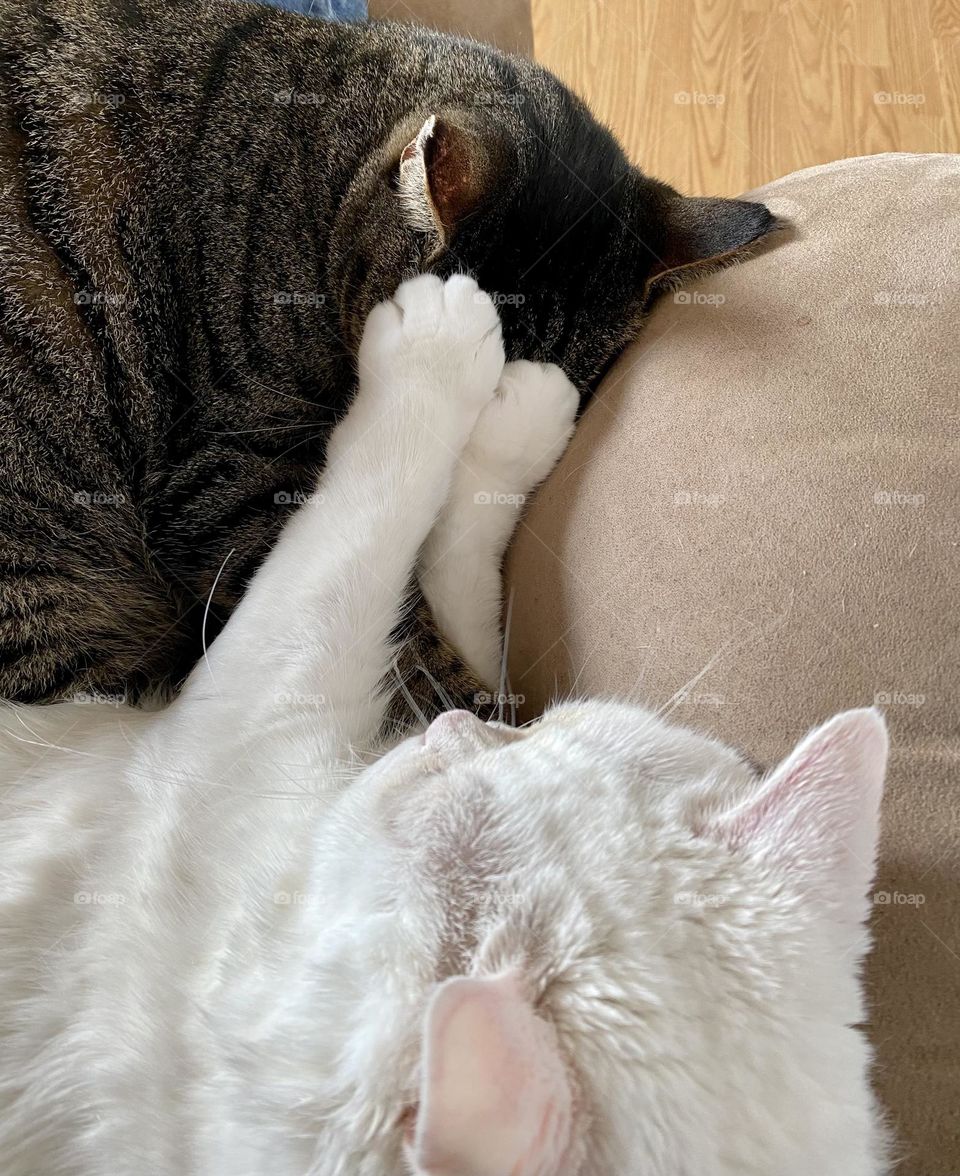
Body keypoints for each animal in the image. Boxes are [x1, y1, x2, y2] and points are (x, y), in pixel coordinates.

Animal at [0, 277, 894, 1176]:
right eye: (543, 730)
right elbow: (452, 594)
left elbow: (357, 534)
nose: (451, 731)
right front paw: (515, 426)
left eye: (435, 823)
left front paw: (437, 347)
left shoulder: (243, 730)